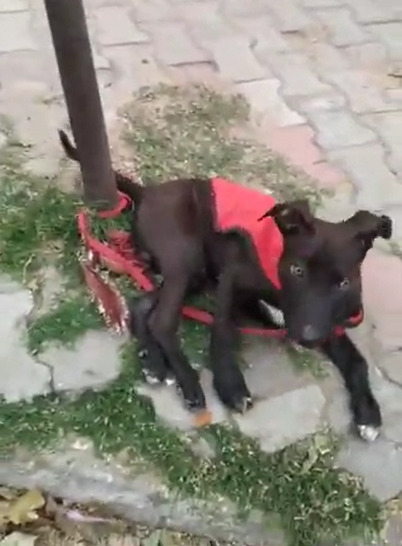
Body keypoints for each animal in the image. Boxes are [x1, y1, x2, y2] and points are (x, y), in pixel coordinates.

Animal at [59, 130, 392, 440]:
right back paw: (189, 382)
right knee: (163, 321)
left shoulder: (330, 320)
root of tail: (147, 192)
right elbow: (223, 331)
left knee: (143, 307)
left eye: (343, 282)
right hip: (187, 258)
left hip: (195, 274)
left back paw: (153, 362)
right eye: (297, 269)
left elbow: (356, 361)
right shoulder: (232, 280)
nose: (308, 339)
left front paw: (368, 413)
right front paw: (230, 384)